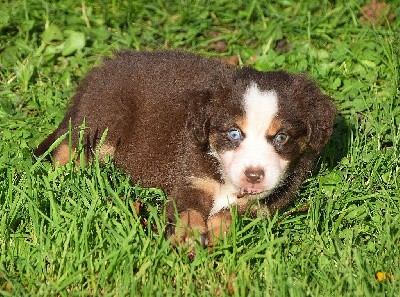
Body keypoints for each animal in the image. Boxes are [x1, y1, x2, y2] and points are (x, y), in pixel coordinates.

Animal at [34, 50, 336, 245]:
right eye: (234, 133)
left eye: (281, 138)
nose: (254, 175)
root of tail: (99, 71)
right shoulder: (191, 179)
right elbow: (187, 212)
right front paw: (187, 238)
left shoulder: (265, 204)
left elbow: (233, 214)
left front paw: (216, 233)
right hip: (102, 125)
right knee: (68, 150)